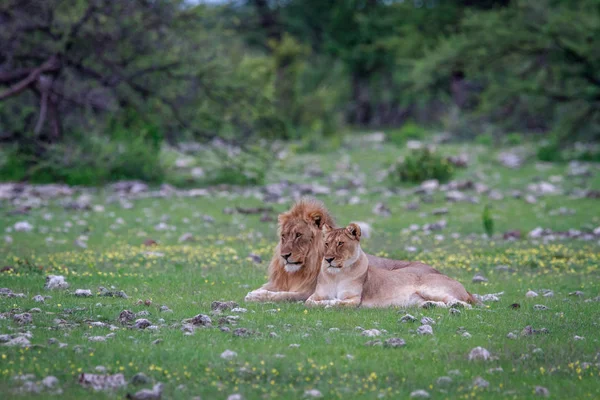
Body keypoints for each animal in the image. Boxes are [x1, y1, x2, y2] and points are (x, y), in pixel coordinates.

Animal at [245, 198, 440, 302]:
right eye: (284, 236)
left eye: (299, 235)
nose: (284, 256)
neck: (299, 271)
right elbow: (269, 288)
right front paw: (256, 291)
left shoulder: (309, 292)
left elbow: (281, 295)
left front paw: (256, 295)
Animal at [308, 223, 476, 308]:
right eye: (326, 243)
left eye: (340, 243)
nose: (328, 259)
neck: (336, 275)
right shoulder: (315, 295)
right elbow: (310, 302)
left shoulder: (354, 299)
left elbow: (338, 301)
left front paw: (331, 303)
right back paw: (429, 305)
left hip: (431, 288)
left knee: (462, 303)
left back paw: (456, 306)